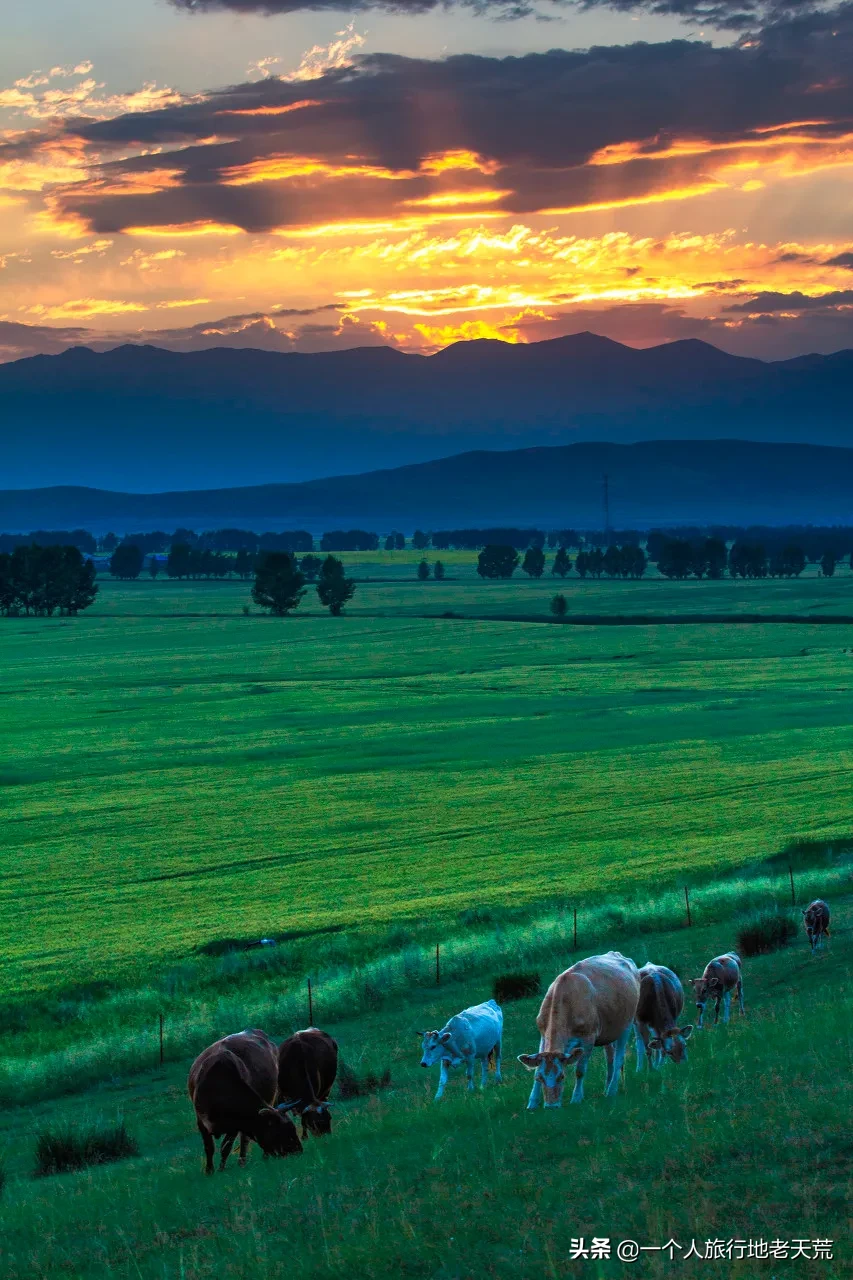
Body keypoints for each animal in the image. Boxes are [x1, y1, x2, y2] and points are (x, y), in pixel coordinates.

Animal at [186, 1024, 302, 1172]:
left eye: (293, 1128)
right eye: (281, 1131)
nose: (299, 1151)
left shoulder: (236, 1124)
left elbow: (226, 1147)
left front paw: (221, 1169)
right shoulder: (201, 1121)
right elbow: (209, 1147)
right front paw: (210, 1171)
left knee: (244, 1139)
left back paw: (247, 1160)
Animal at [512, 952, 637, 1111]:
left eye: (562, 1076)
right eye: (540, 1078)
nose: (551, 1106)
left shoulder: (588, 1038)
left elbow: (580, 1070)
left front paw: (576, 1098)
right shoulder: (543, 1035)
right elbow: (536, 1067)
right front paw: (532, 1102)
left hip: (626, 1025)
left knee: (618, 1058)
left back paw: (612, 1090)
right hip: (609, 1031)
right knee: (610, 1057)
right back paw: (607, 1087)